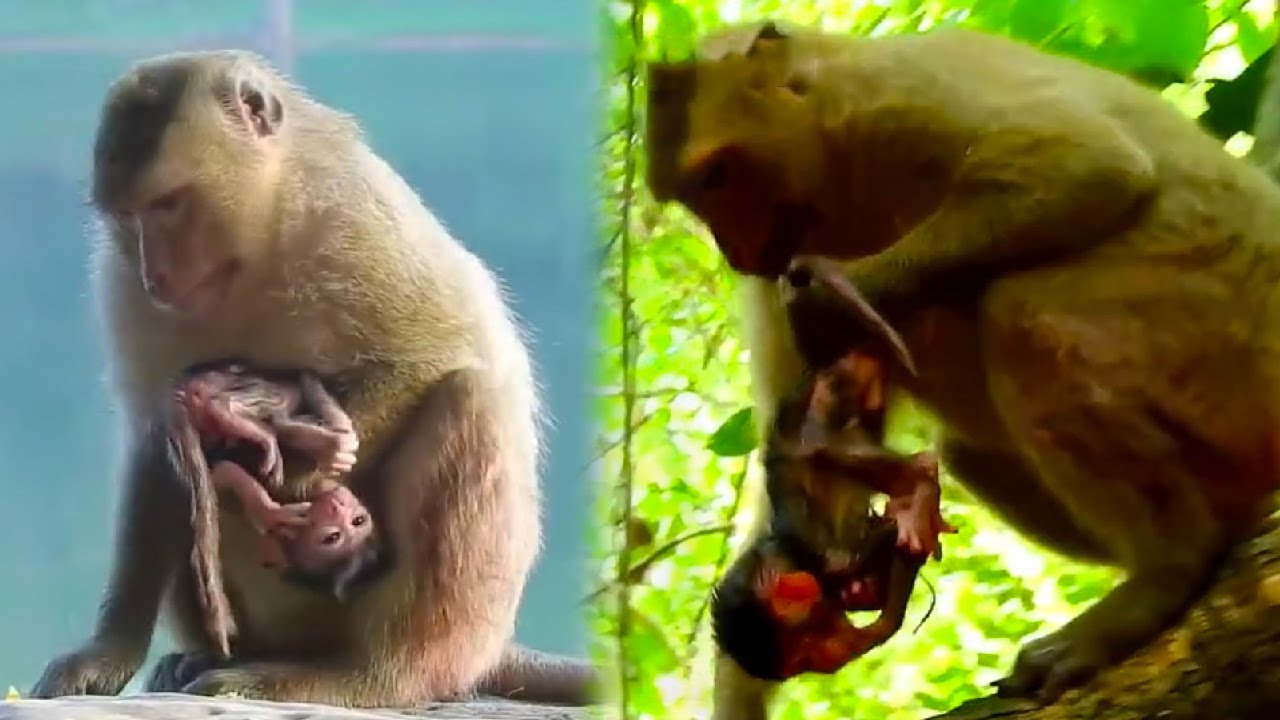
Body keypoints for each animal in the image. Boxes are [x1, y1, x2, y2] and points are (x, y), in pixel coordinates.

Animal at [30, 50, 597, 707]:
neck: (251, 250)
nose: (157, 273)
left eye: (169, 204)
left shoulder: (352, 214)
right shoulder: (123, 286)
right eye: (128, 217)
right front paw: (107, 652)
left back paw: (368, 676)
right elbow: (157, 435)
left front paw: (301, 467)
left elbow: (429, 358)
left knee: (468, 397)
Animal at [646, 20, 1280, 715]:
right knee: (969, 447)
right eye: (696, 194)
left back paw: (1168, 570)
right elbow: (807, 456)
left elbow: (1085, 164)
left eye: (718, 177)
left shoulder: (892, 91)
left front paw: (832, 301)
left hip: (1228, 347)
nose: (732, 250)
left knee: (1022, 313)